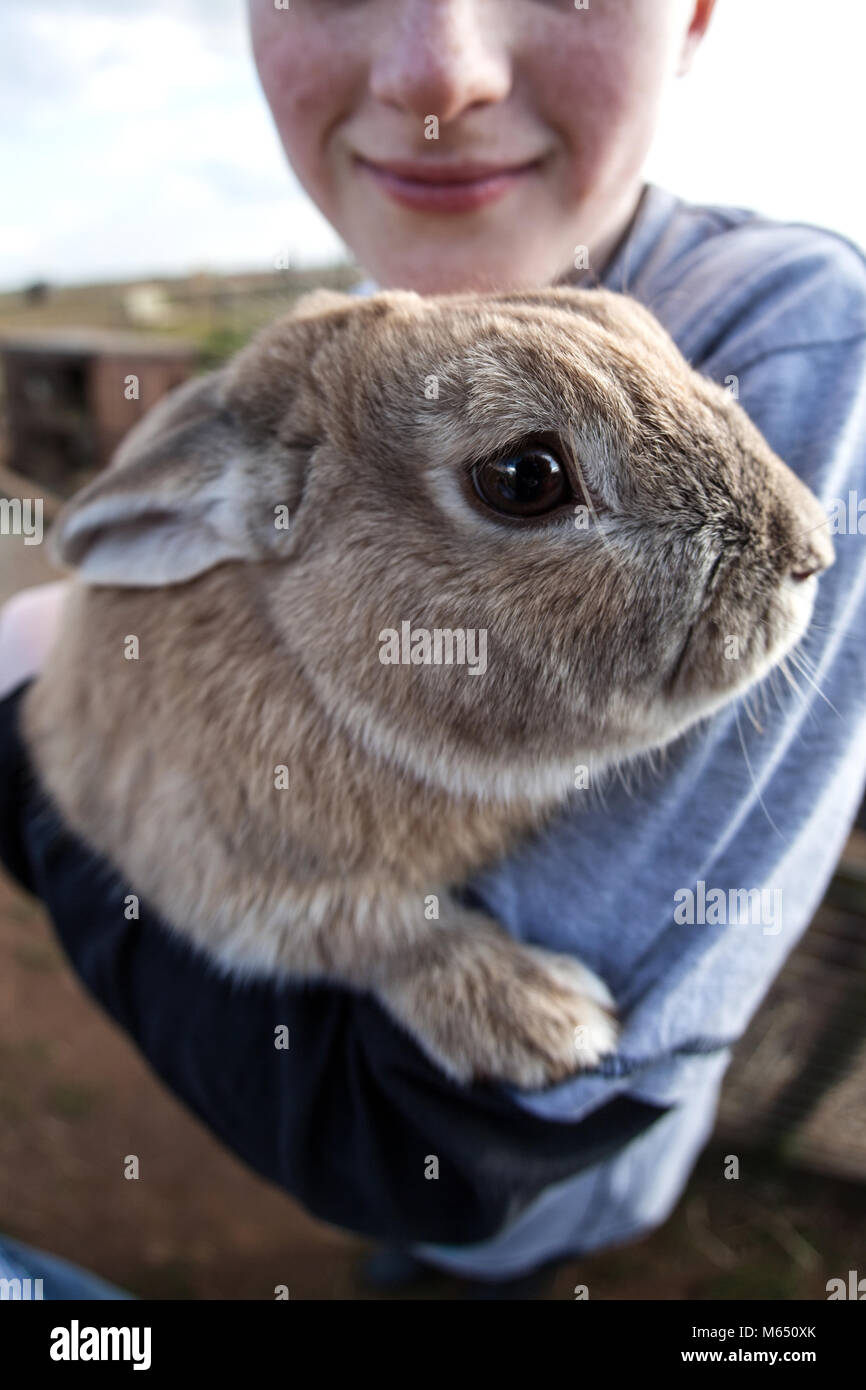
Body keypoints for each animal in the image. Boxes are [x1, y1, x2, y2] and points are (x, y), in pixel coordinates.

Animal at [20, 287, 834, 1089]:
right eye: (525, 476)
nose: (811, 551)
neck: (307, 661)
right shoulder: (213, 864)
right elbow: (373, 935)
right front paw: (547, 1015)